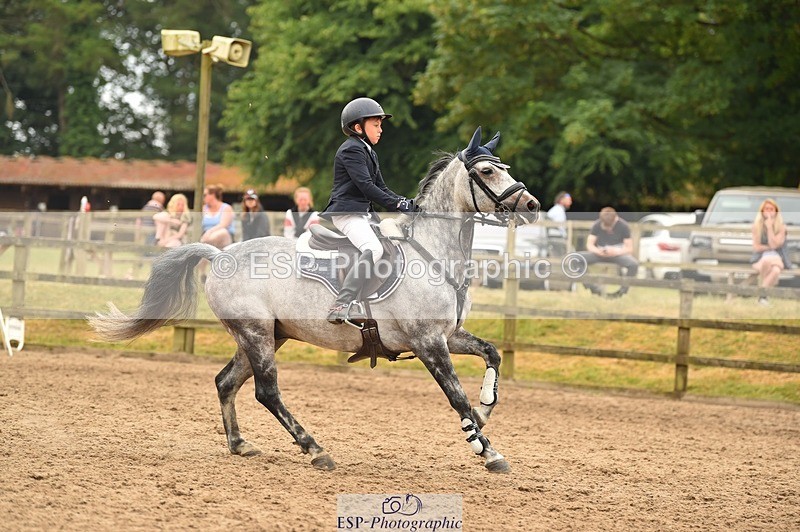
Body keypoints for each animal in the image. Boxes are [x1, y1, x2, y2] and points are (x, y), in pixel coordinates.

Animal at [90, 127, 540, 473]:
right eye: (486, 171)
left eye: (505, 169)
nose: (532, 204)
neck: (431, 254)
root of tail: (219, 255)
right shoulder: (428, 342)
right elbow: (455, 395)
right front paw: (487, 450)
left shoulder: (448, 336)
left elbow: (491, 353)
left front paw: (483, 412)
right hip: (256, 334)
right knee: (267, 392)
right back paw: (315, 449)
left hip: (266, 336)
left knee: (226, 382)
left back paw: (240, 444)